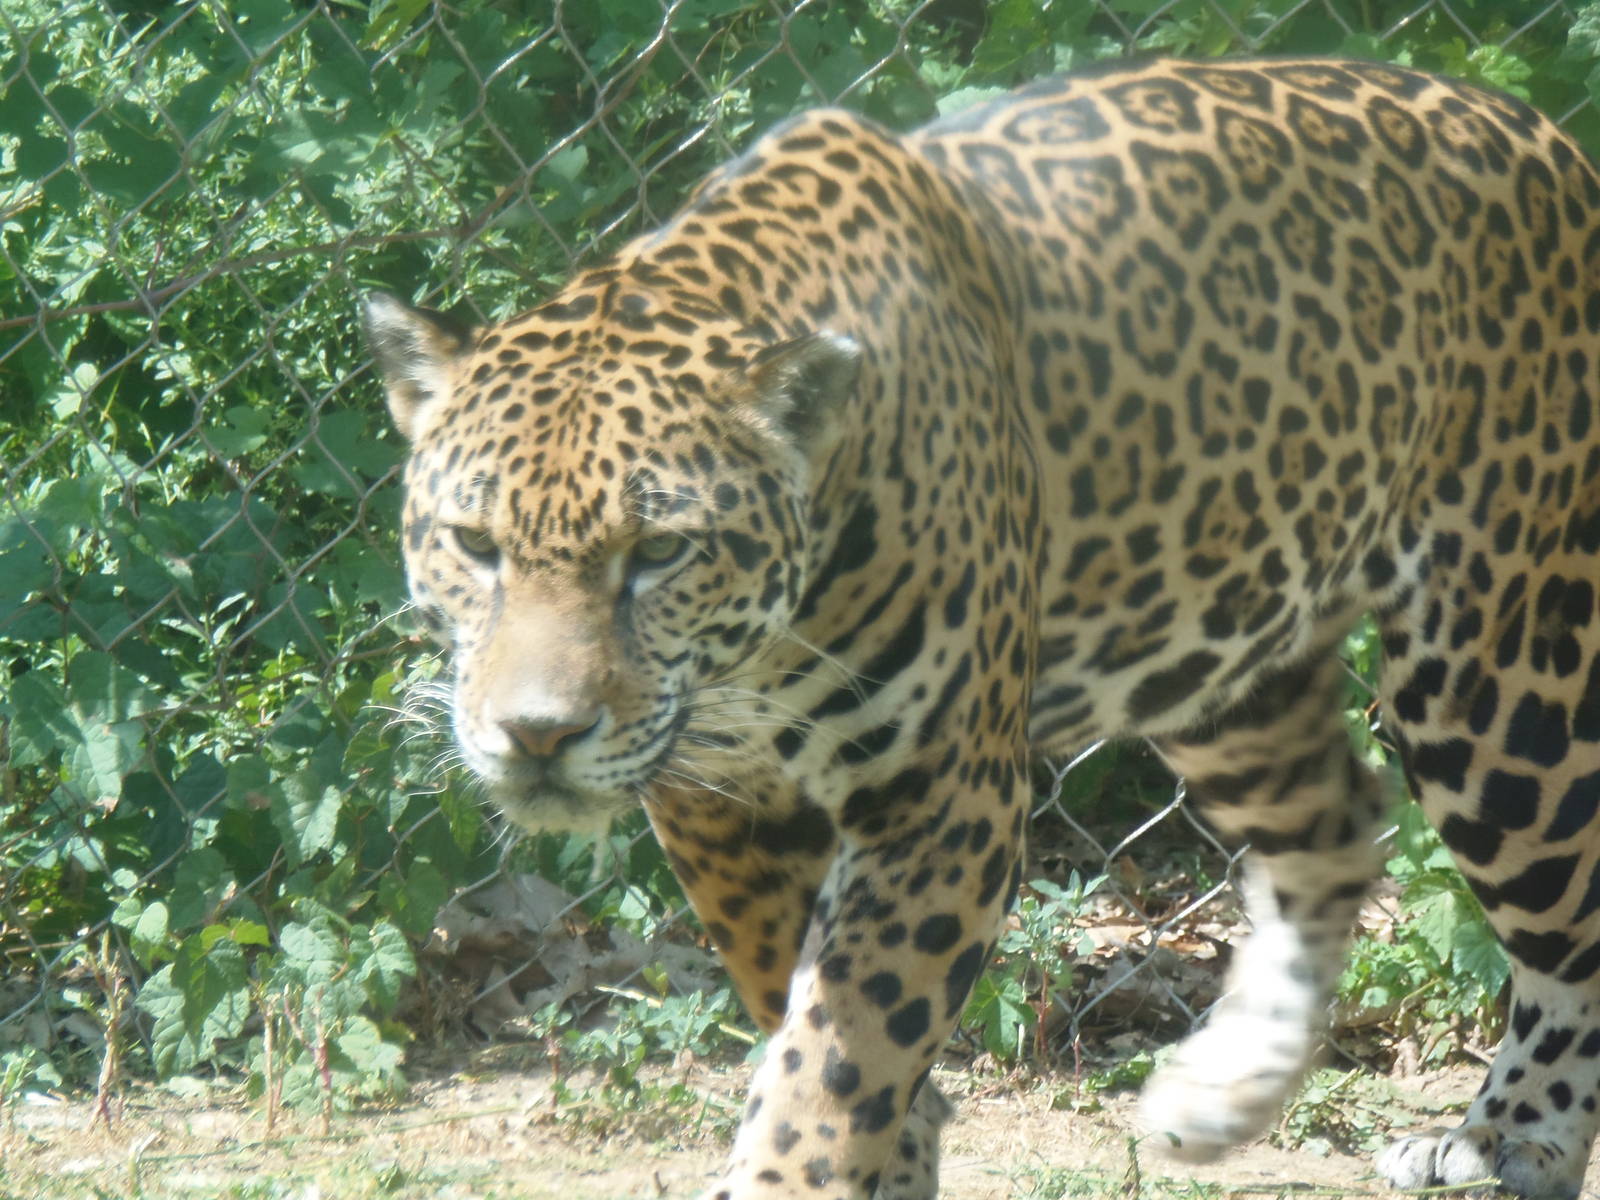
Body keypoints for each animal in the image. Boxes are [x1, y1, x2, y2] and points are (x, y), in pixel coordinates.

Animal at [363, 55, 1600, 1199]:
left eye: (658, 553)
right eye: (474, 545)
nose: (535, 735)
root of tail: (1542, 132)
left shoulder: (942, 794)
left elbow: (841, 1047)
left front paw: (804, 1165)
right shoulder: (722, 805)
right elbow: (798, 1006)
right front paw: (899, 1151)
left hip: (1498, 666)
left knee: (1568, 918)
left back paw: (1504, 1138)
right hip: (1224, 646)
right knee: (1337, 824)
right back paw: (1221, 1093)